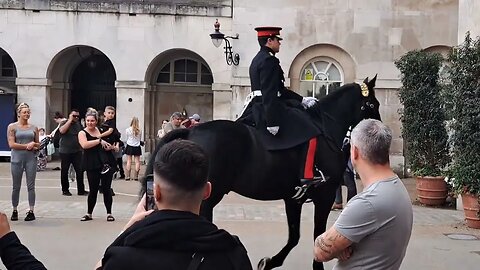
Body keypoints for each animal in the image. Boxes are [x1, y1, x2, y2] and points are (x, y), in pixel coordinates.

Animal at [144, 75, 380, 268]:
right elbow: (316, 235)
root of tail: (191, 132)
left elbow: (295, 236)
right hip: (207, 196)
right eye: (372, 103)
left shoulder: (293, 198)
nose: (379, 130)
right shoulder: (325, 194)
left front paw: (270, 262)